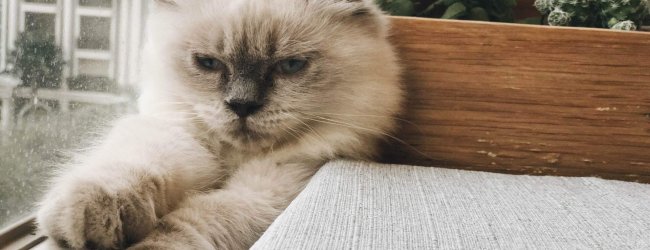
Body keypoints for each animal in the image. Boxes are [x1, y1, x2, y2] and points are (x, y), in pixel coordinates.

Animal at [35, 0, 402, 248]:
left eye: (291, 66)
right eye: (208, 63)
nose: (242, 105)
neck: (232, 159)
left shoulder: (268, 193)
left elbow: (192, 221)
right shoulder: (180, 138)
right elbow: (136, 166)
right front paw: (92, 216)